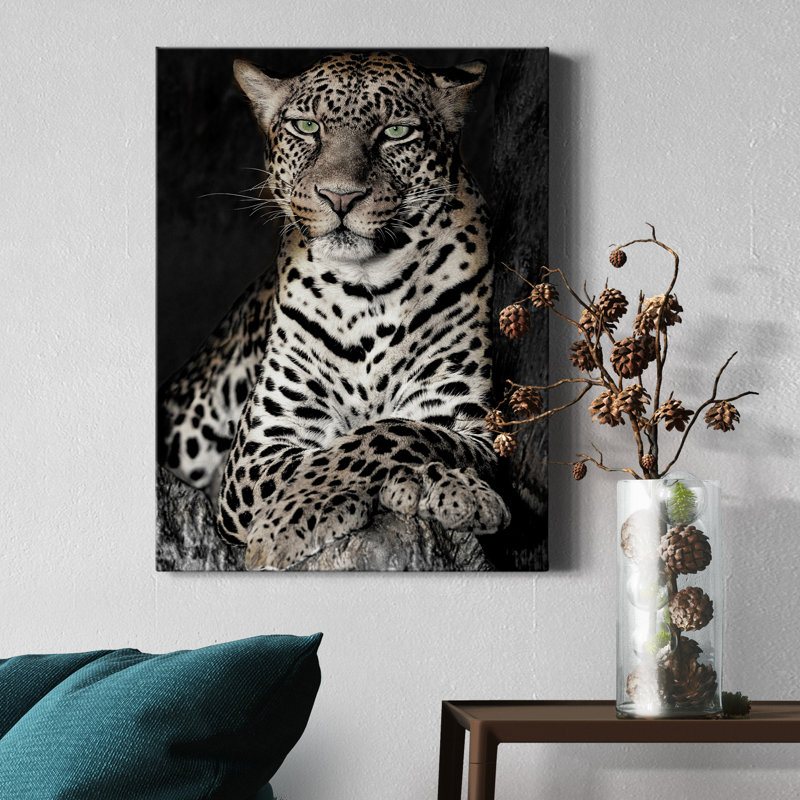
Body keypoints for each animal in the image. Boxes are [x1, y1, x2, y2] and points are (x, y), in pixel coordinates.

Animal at [158, 52, 511, 570]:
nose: (340, 196)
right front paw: (289, 522)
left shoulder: (468, 423)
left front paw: (451, 488)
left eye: (395, 132)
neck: (370, 289)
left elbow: (395, 433)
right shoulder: (258, 451)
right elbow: (330, 454)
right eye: (307, 127)